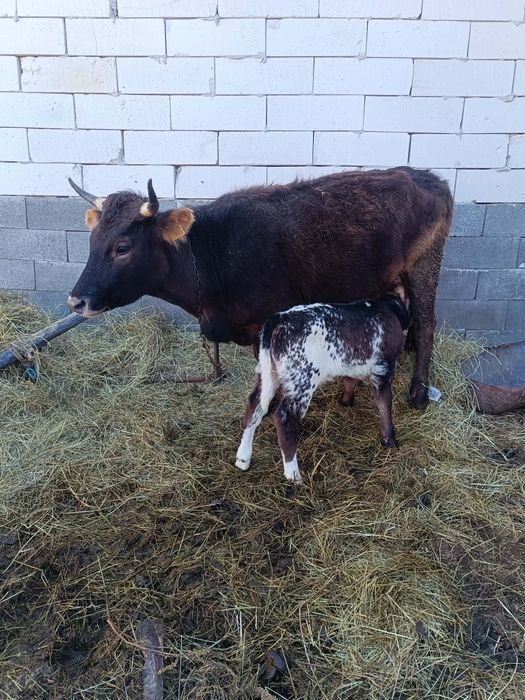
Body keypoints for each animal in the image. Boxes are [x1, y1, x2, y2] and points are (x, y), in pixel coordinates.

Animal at [66, 167, 452, 409]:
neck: (210, 254)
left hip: (425, 265)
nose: (76, 300)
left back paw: (418, 394)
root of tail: (429, 178)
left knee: (427, 324)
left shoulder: (267, 322)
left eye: (122, 247)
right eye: (93, 239)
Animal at [235, 284, 410, 483]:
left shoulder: (354, 364)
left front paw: (346, 402)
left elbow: (350, 381)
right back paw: (293, 474)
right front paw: (390, 440)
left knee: (254, 405)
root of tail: (278, 319)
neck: (388, 307)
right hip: (302, 380)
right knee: (284, 417)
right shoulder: (384, 370)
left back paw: (243, 458)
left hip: (268, 373)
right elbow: (384, 406)